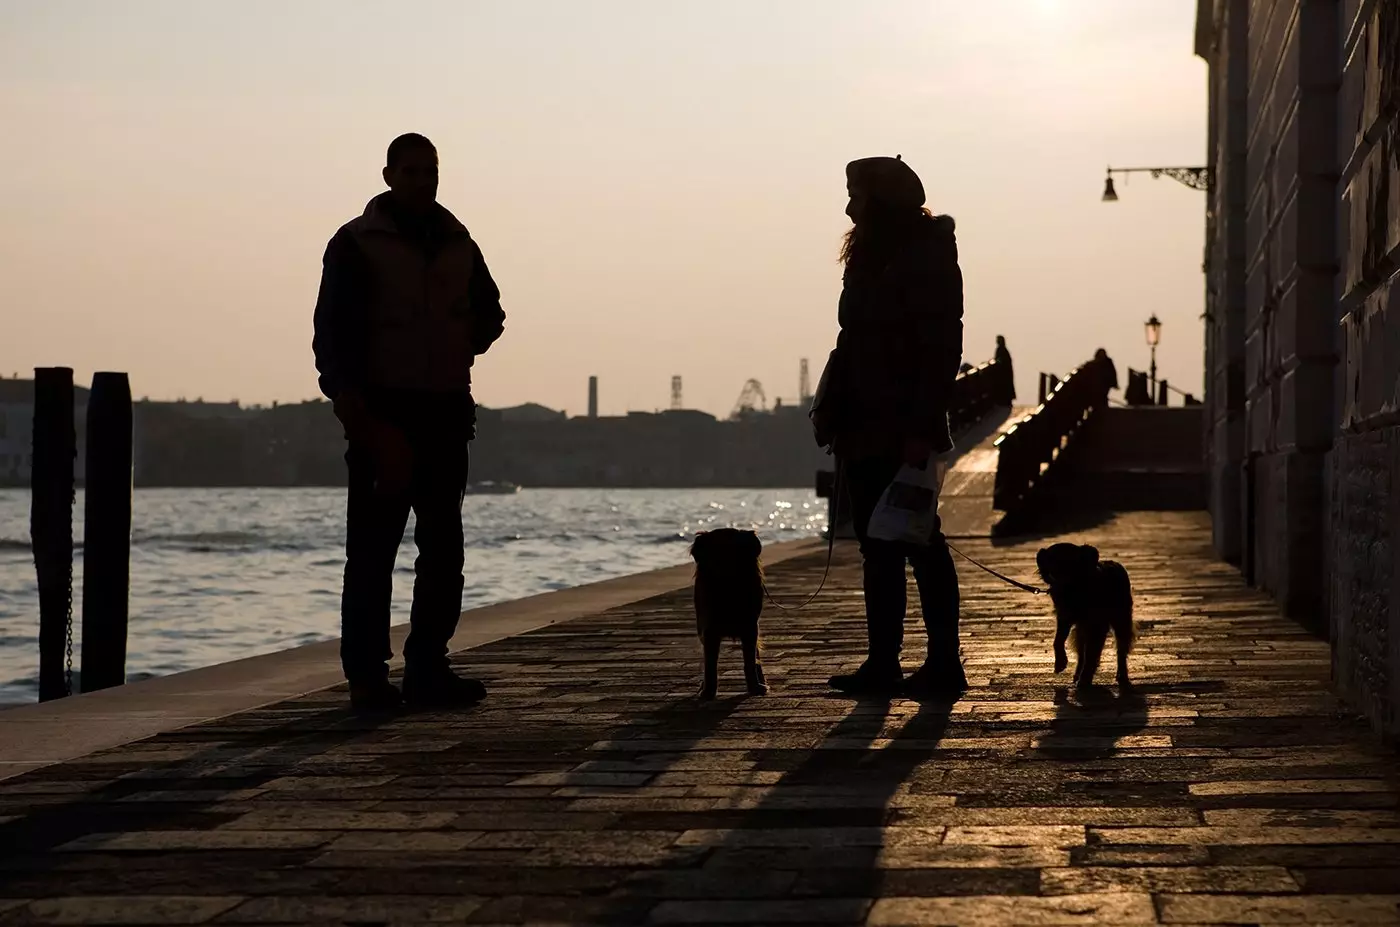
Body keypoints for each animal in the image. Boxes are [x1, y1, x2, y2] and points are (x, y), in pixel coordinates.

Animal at [686, 526, 767, 700]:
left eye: (736, 552)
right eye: (715, 552)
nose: (724, 568)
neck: (728, 589)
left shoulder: (750, 627)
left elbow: (750, 661)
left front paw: (755, 686)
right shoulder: (709, 629)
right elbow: (710, 664)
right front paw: (708, 691)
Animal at [1036, 546, 1131, 688]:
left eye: (1071, 562)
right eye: (1050, 561)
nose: (1056, 578)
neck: (1074, 589)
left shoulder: (1096, 625)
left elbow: (1091, 653)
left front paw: (1085, 678)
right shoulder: (1064, 617)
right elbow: (1058, 641)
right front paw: (1060, 662)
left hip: (1121, 619)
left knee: (1120, 650)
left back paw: (1122, 675)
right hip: (1082, 628)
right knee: (1082, 652)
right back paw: (1077, 673)